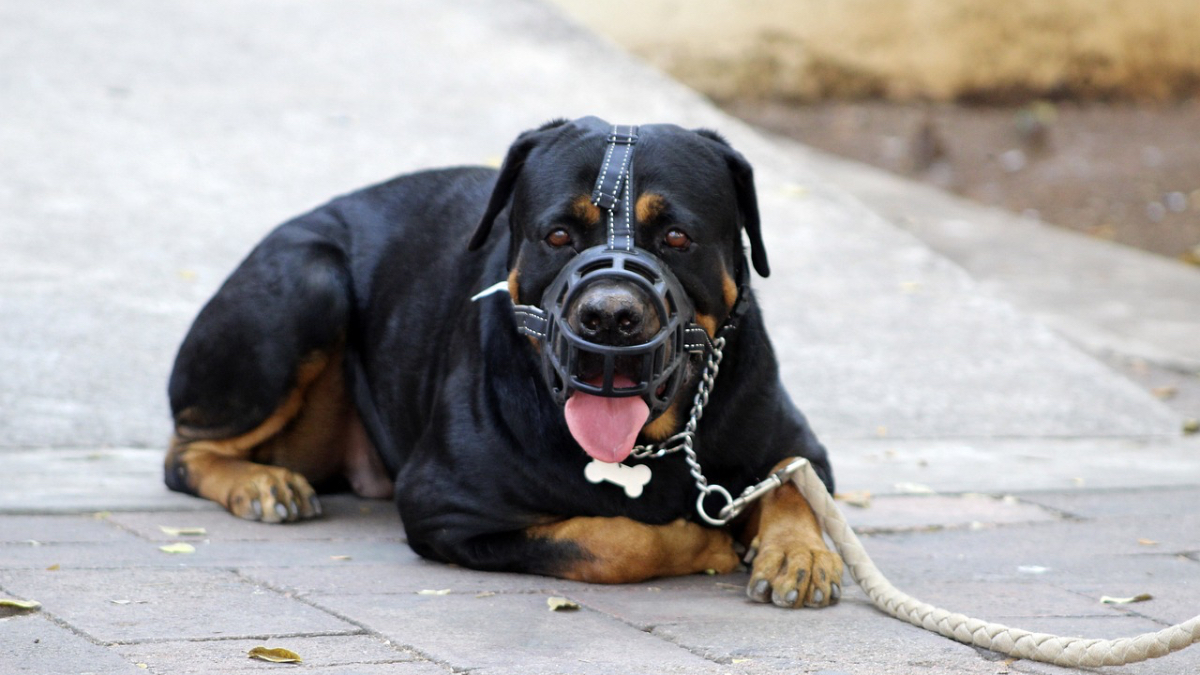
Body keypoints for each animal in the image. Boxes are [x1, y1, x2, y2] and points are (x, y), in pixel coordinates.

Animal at [164, 115, 844, 605]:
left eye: (677, 237)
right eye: (558, 235)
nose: (610, 316)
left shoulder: (799, 442)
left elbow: (793, 482)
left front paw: (799, 554)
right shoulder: (447, 504)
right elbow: (610, 540)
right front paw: (702, 544)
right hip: (309, 281)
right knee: (184, 452)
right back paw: (259, 482)